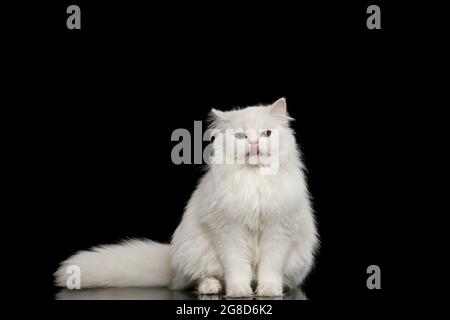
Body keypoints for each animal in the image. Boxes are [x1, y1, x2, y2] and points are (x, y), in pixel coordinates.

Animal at [54, 98, 318, 298]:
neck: (255, 180)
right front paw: (239, 292)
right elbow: (237, 268)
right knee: (199, 278)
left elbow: (270, 268)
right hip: (197, 251)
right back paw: (211, 287)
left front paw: (269, 291)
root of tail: (173, 261)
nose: (254, 144)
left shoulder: (278, 231)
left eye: (266, 134)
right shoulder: (230, 232)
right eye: (241, 137)